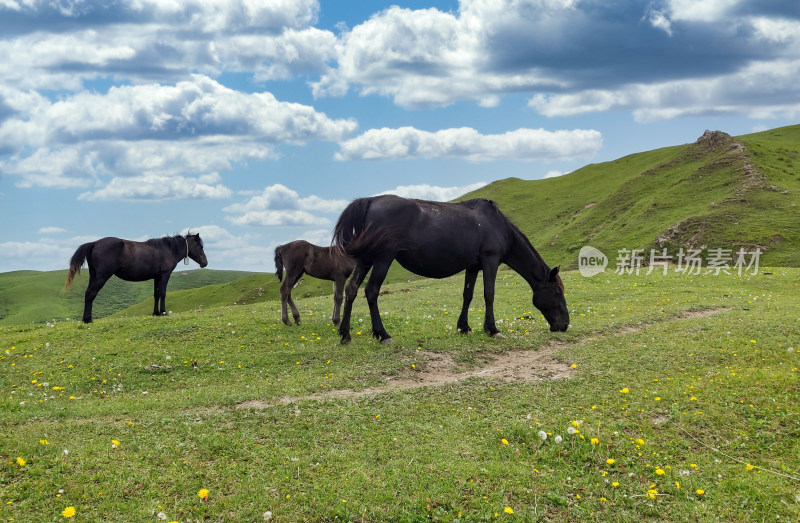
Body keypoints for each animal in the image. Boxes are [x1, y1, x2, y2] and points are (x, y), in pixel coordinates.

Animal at [64, 234, 208, 324]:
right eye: (200, 246)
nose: (205, 263)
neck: (168, 249)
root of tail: (94, 243)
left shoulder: (157, 277)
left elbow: (156, 294)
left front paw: (156, 313)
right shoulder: (164, 275)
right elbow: (162, 293)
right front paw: (163, 312)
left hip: (93, 275)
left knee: (87, 294)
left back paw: (86, 319)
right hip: (102, 276)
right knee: (91, 294)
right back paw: (88, 320)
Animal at [332, 194, 568, 346]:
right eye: (557, 292)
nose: (565, 324)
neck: (499, 226)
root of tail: (371, 201)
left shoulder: (473, 267)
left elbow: (468, 295)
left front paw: (464, 327)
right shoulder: (490, 261)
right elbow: (489, 294)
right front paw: (492, 330)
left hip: (366, 259)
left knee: (351, 290)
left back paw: (345, 334)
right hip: (383, 259)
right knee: (371, 291)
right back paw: (383, 335)